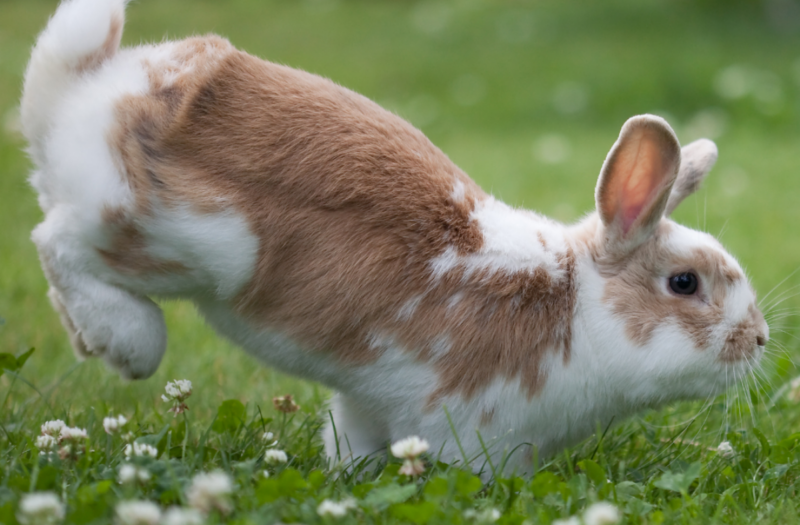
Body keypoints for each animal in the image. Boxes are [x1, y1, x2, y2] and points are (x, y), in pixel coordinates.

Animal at [20, 0, 768, 474]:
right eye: (684, 283)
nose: (759, 340)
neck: (572, 303)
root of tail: (86, 91)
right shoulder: (472, 426)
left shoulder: (369, 404)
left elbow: (353, 446)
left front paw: (348, 480)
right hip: (171, 239)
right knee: (54, 240)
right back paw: (127, 342)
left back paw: (93, 341)